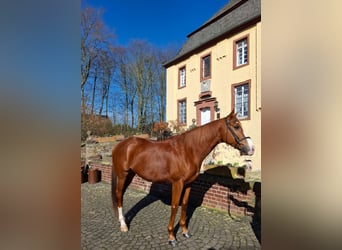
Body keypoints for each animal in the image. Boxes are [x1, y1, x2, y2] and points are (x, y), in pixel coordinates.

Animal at [111, 110, 254, 245]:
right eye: (236, 126)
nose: (251, 148)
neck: (188, 150)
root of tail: (120, 145)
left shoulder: (189, 184)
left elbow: (184, 205)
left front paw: (185, 231)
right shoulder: (177, 183)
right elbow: (175, 206)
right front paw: (171, 237)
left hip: (130, 175)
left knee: (121, 195)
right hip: (122, 175)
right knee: (118, 194)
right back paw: (123, 225)